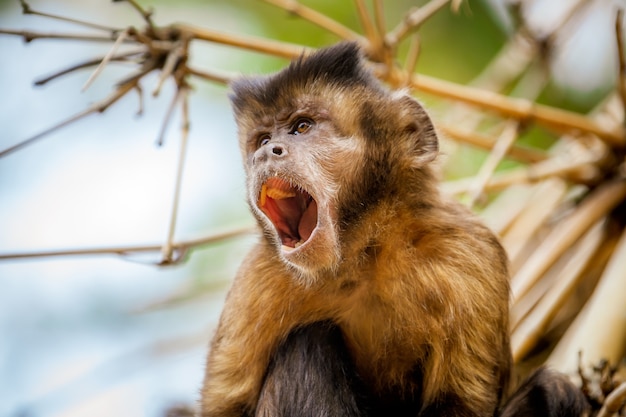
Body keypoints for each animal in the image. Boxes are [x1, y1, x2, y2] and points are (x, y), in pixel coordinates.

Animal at [200, 40, 584, 414]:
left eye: (302, 127)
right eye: (263, 139)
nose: (266, 153)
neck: (362, 255)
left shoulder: (471, 252)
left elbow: (461, 402)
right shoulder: (257, 281)